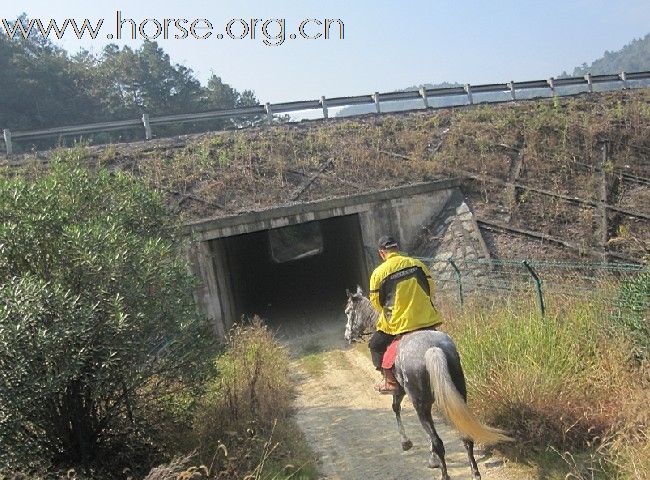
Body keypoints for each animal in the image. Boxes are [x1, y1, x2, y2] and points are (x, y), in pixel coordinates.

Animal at [342, 286, 508, 478]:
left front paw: (407, 443)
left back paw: (444, 474)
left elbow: (396, 409)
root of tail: (432, 349)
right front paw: (431, 458)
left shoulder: (400, 391)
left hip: (419, 403)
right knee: (465, 437)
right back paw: (475, 473)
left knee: (438, 441)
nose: (347, 336)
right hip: (458, 394)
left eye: (348, 312)